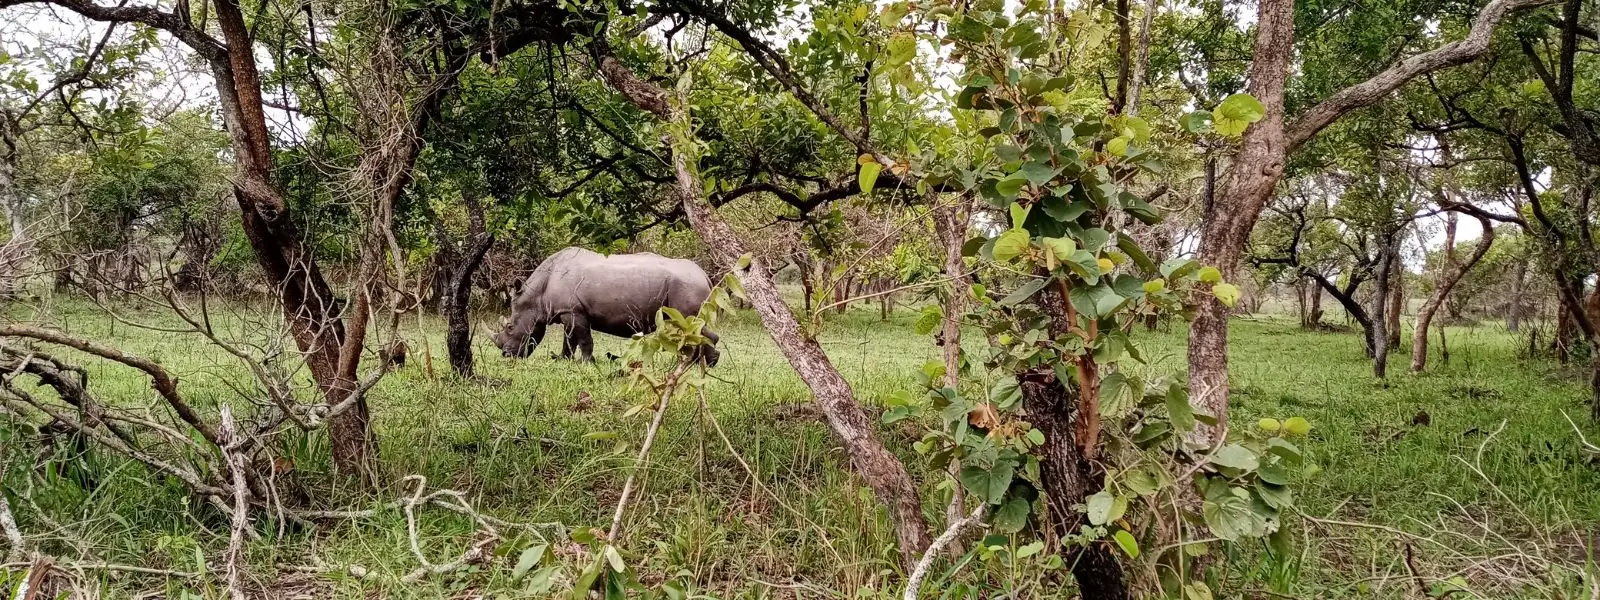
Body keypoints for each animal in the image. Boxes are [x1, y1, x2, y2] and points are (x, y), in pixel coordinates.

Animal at [491, 247, 720, 365]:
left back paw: (697, 365)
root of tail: (704, 276)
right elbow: (569, 339)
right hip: (687, 285)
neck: (537, 293)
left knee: (690, 325)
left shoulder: (574, 311)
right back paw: (695, 363)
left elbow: (583, 339)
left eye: (510, 327)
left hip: (686, 285)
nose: (506, 355)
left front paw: (586, 363)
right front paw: (562, 360)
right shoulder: (567, 311)